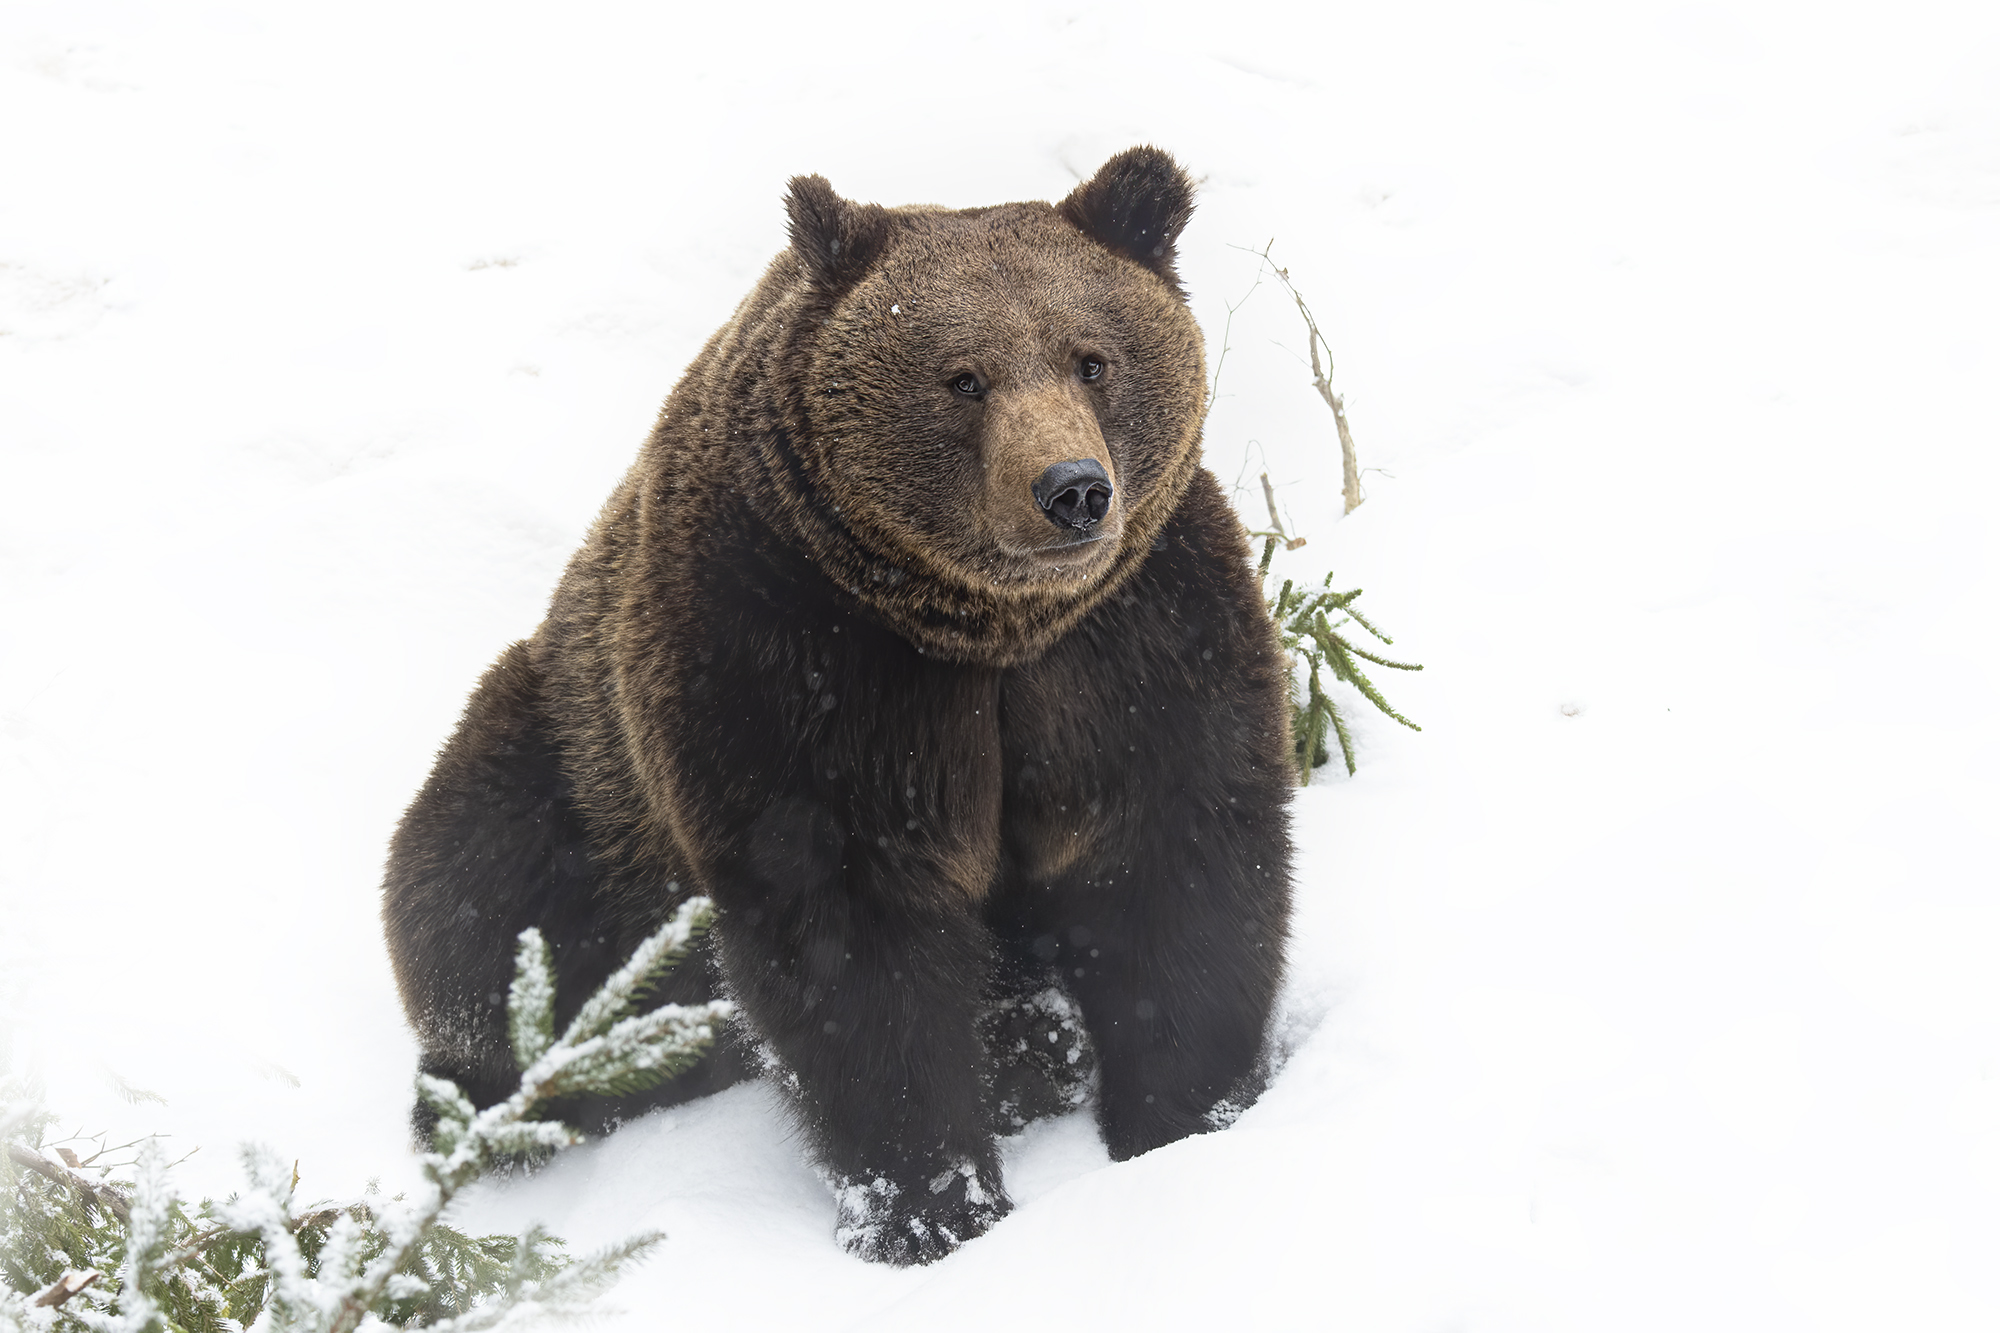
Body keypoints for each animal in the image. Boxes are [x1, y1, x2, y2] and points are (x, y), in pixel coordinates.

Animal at [381, 145, 1296, 1265]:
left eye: (1092, 358)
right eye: (962, 376)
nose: (1072, 489)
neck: (984, 630)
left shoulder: (1131, 641)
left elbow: (1177, 862)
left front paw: (1182, 1119)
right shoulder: (793, 660)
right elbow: (849, 937)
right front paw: (932, 1205)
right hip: (570, 769)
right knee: (475, 891)